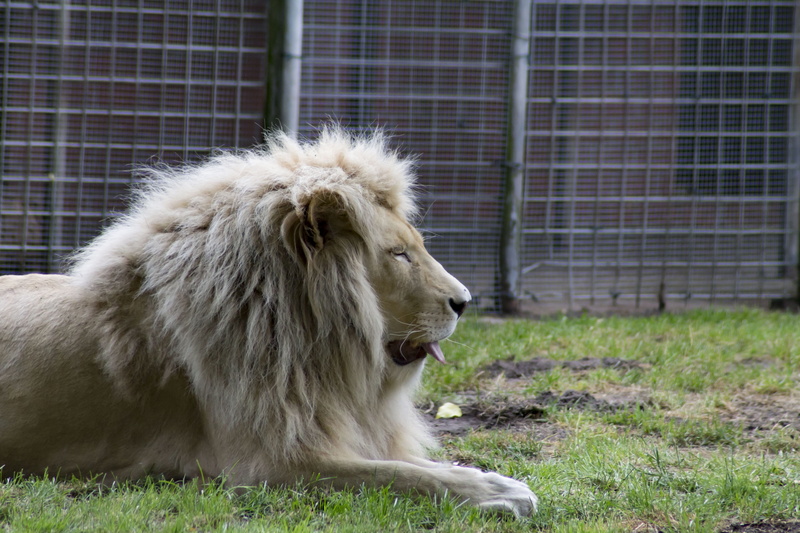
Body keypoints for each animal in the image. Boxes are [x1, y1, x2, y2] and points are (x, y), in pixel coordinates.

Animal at [0, 127, 536, 517]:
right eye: (400, 254)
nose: (464, 301)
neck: (311, 340)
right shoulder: (265, 464)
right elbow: (398, 475)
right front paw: (500, 492)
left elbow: (412, 465)